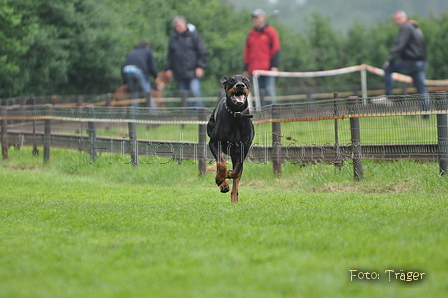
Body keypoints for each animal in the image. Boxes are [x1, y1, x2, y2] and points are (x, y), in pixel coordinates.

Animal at [207, 74, 254, 203]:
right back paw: (223, 184)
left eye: (245, 80)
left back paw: (234, 200)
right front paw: (220, 179)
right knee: (220, 163)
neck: (236, 116)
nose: (240, 85)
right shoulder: (214, 143)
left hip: (235, 154)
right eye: (232, 80)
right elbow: (221, 164)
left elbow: (237, 171)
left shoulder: (245, 147)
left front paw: (229, 174)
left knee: (236, 182)